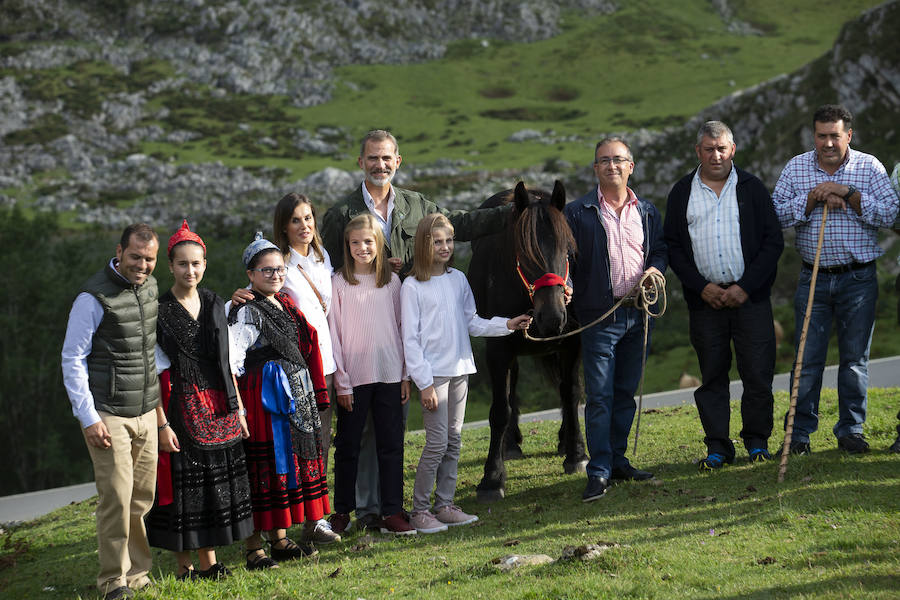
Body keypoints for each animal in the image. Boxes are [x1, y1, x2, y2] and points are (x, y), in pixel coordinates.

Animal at [468, 179, 588, 502]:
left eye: (568, 250)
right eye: (522, 254)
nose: (552, 317)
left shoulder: (573, 341)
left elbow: (571, 393)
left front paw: (576, 454)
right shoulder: (498, 349)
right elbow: (500, 410)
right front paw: (492, 478)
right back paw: (510, 444)